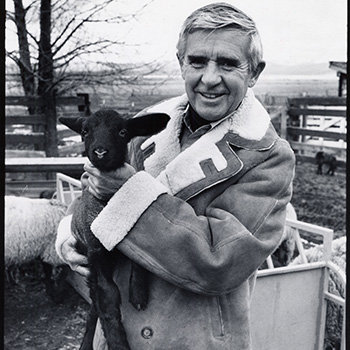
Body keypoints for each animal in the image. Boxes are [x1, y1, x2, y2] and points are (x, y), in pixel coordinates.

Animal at [58, 110, 170, 350]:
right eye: (85, 131)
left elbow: (141, 257)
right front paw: (118, 342)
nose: (100, 151)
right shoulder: (96, 253)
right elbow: (107, 299)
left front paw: (138, 293)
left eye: (122, 131)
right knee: (94, 305)